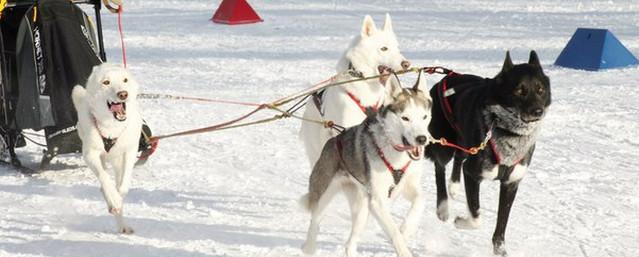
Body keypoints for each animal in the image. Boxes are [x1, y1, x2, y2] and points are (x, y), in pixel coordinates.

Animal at [72, 63, 142, 233]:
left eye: (125, 80)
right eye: (106, 82)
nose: (123, 94)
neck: (112, 128)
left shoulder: (130, 150)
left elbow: (124, 184)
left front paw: (118, 197)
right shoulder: (90, 154)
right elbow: (104, 178)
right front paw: (113, 199)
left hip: (117, 160)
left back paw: (123, 225)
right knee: (103, 178)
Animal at [424, 51, 552, 255]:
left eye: (540, 89)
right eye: (519, 90)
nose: (537, 111)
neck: (508, 131)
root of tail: (446, 78)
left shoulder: (511, 183)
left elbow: (502, 224)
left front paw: (500, 250)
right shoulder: (472, 174)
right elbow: (476, 216)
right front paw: (461, 221)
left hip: (464, 141)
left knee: (459, 158)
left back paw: (454, 186)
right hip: (444, 145)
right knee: (439, 166)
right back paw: (443, 207)